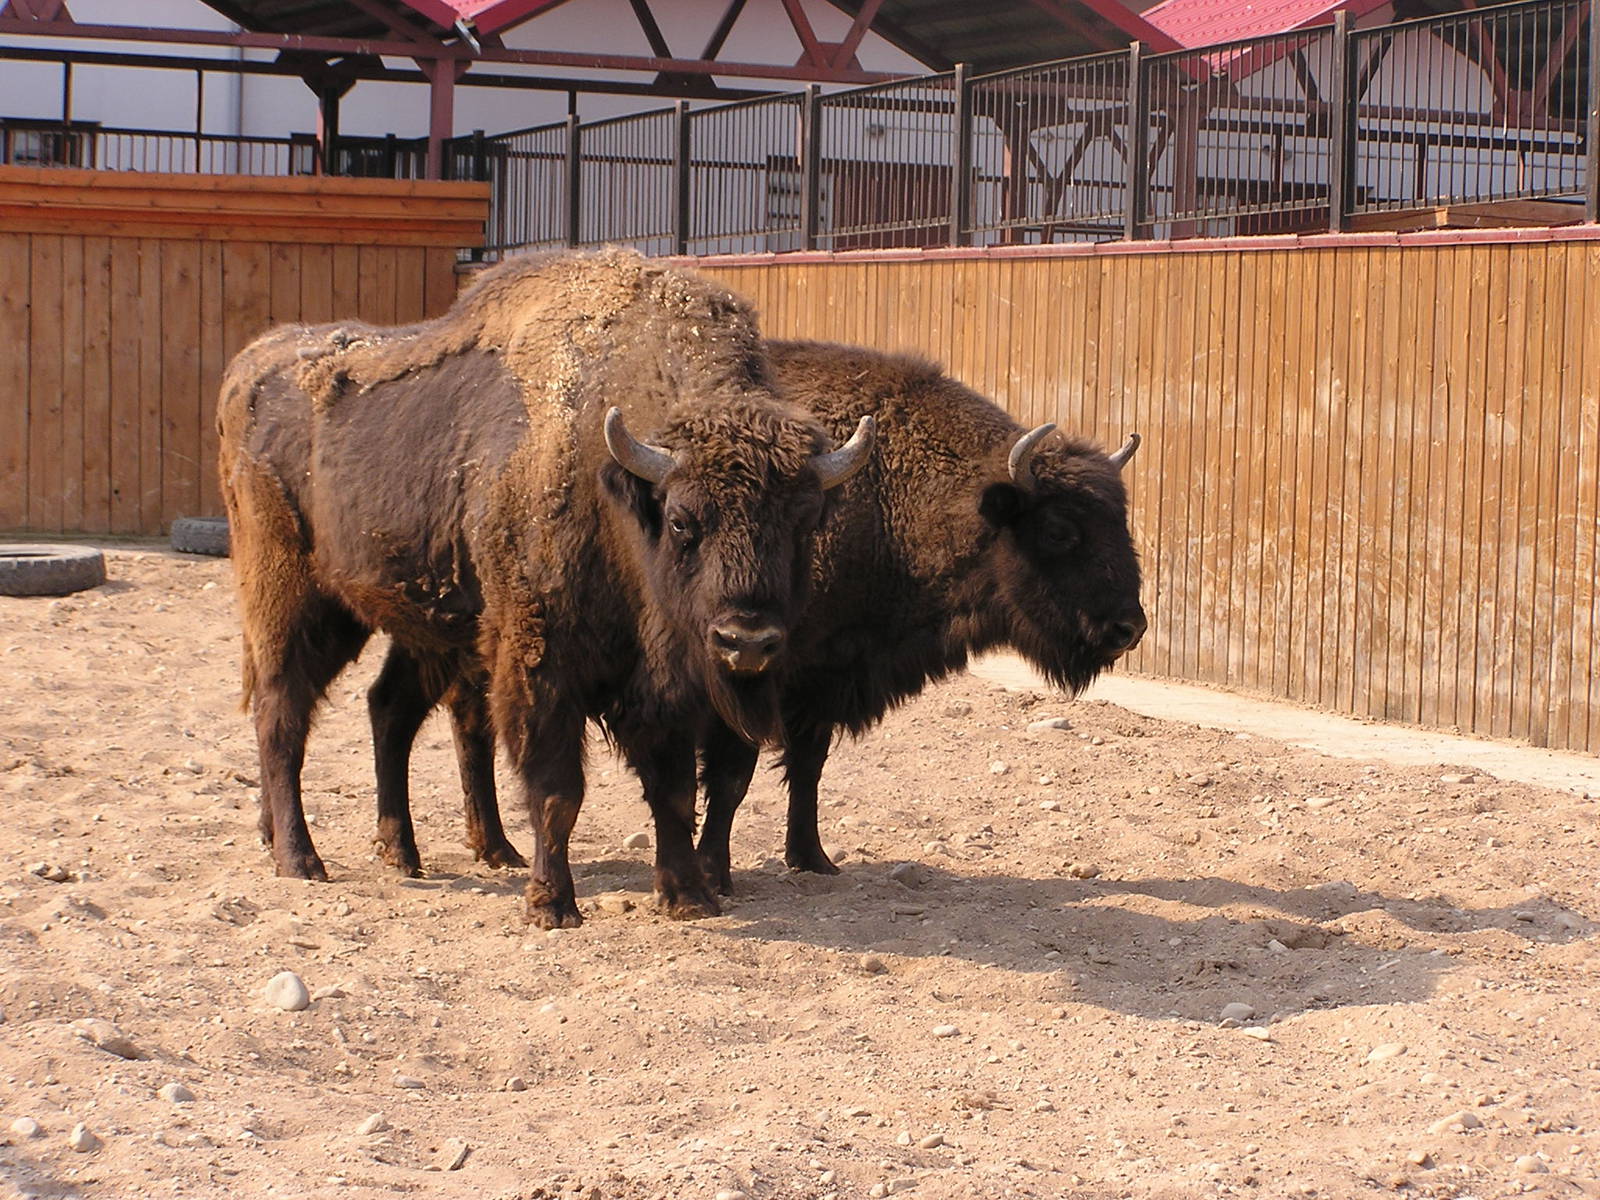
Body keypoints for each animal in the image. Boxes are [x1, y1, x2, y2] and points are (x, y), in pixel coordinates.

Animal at [217, 251, 873, 927]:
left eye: (805, 521)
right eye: (682, 520)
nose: (746, 641)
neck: (617, 488)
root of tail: (250, 365)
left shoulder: (665, 688)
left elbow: (671, 789)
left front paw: (687, 895)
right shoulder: (541, 665)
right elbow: (559, 790)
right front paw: (552, 904)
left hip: (428, 625)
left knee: (387, 709)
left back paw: (403, 852)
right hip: (295, 601)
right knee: (282, 713)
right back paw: (300, 859)